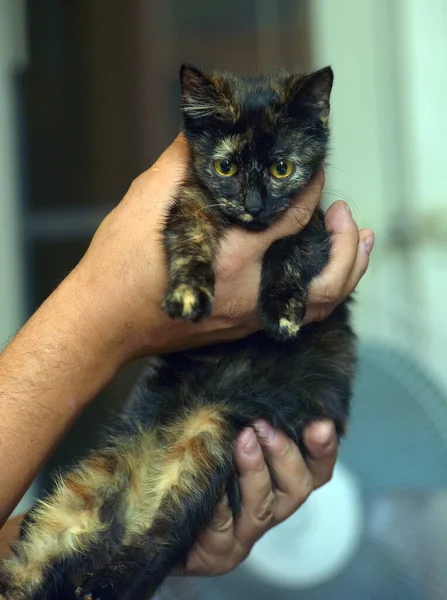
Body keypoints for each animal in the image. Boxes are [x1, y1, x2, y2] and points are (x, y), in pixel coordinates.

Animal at [0, 65, 356, 600]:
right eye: (225, 168)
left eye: (281, 169)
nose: (253, 206)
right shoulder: (188, 207)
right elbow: (189, 241)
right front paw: (188, 293)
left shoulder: (313, 230)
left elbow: (287, 249)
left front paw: (282, 311)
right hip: (75, 499)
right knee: (49, 562)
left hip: (206, 443)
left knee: (160, 536)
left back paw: (102, 581)